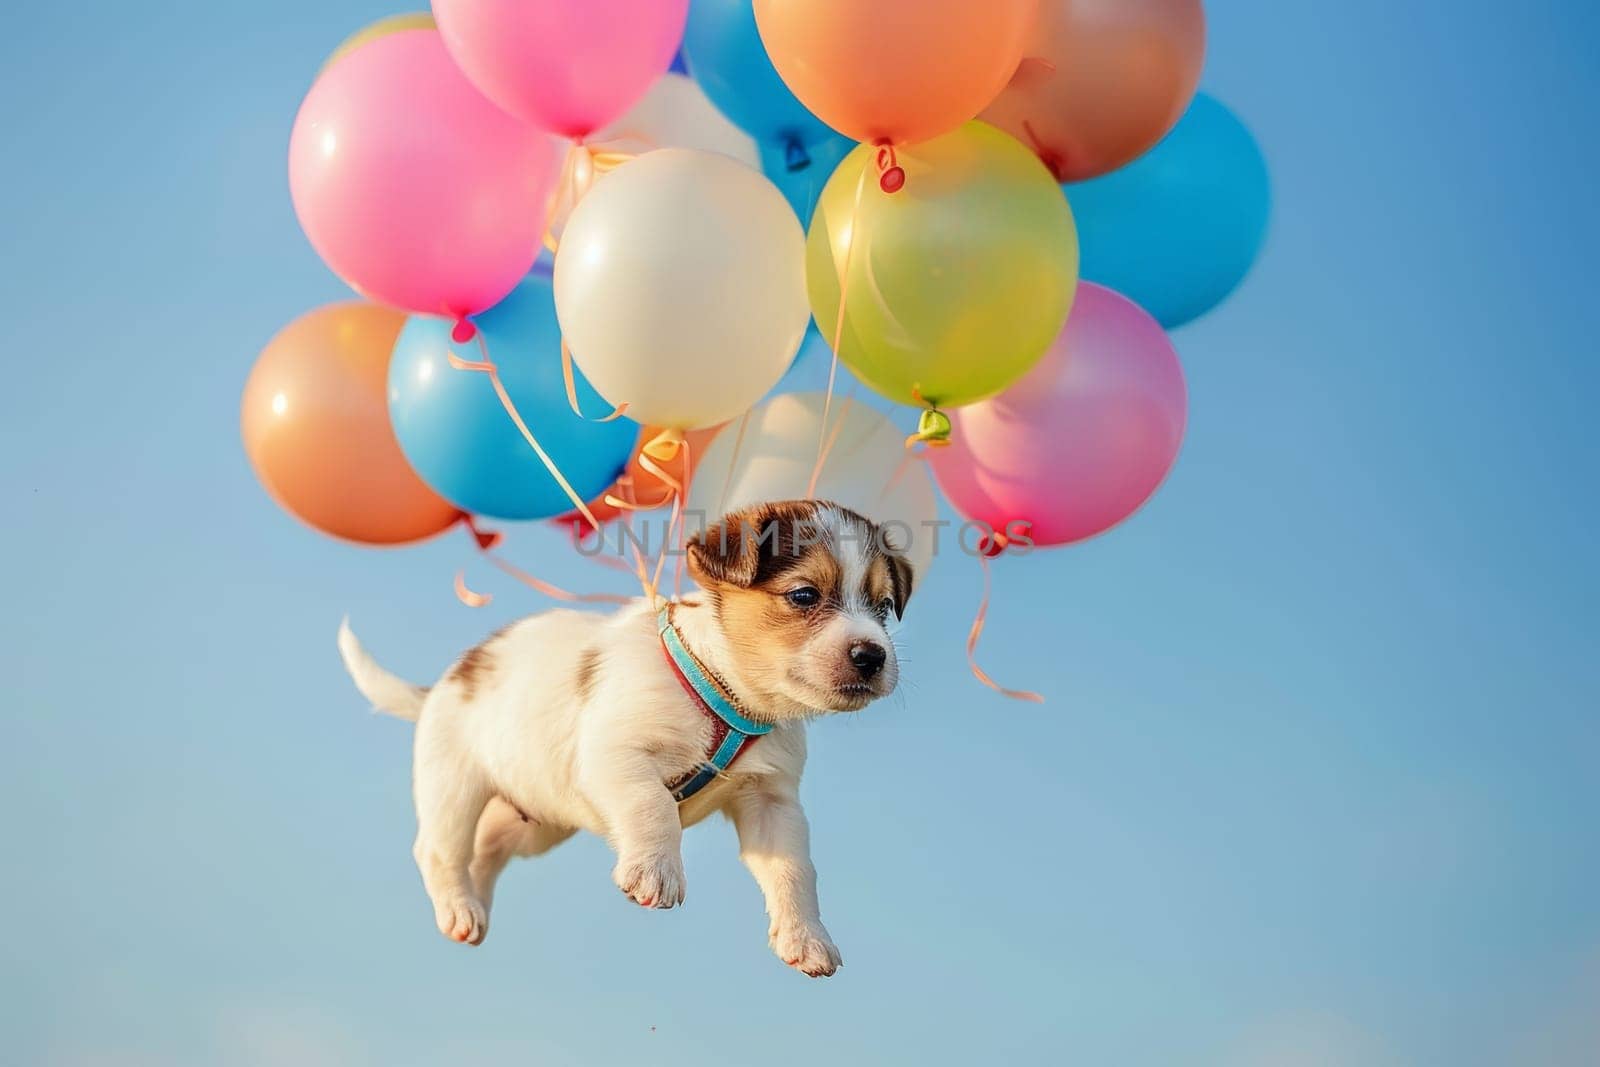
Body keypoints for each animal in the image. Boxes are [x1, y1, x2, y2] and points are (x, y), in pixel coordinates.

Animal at [337, 502, 915, 979]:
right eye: (804, 595)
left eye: (884, 607)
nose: (872, 655)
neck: (726, 692)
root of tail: (444, 683)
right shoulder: (615, 754)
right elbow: (653, 804)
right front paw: (657, 873)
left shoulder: (773, 802)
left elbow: (795, 871)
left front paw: (806, 938)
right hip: (454, 787)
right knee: (439, 851)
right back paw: (458, 909)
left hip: (530, 824)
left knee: (482, 853)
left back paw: (475, 909)